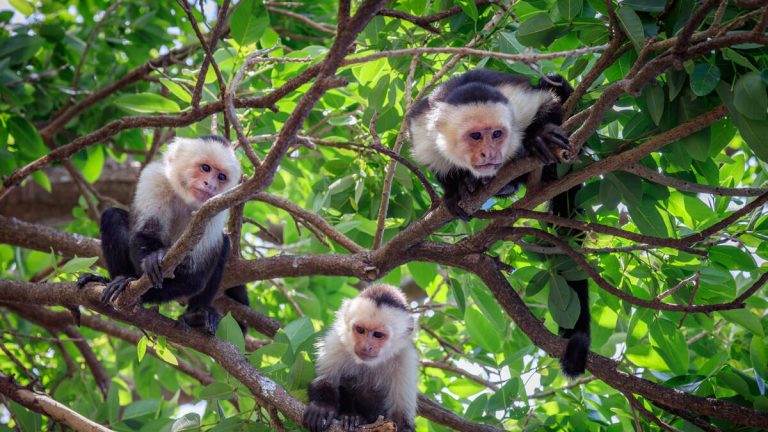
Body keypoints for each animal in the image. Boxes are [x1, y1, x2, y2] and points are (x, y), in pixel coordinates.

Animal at [77, 136, 248, 335]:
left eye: (221, 177)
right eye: (205, 168)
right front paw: (150, 261)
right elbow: (145, 233)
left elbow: (194, 277)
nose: (211, 185)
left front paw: (137, 290)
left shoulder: (216, 208)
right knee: (112, 216)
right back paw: (114, 279)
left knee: (223, 245)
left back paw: (197, 315)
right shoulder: (154, 178)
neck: (185, 197)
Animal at [304, 284, 418, 432]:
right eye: (360, 330)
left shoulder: (405, 360)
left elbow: (400, 418)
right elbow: (325, 380)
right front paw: (322, 407)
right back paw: (350, 417)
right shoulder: (337, 342)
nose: (366, 347)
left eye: (378, 335)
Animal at [407, 69, 589, 377]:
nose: (490, 154)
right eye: (476, 136)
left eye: (496, 134)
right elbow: (437, 163)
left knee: (554, 82)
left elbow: (546, 102)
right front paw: (455, 191)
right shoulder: (422, 130)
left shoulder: (517, 105)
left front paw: (539, 134)